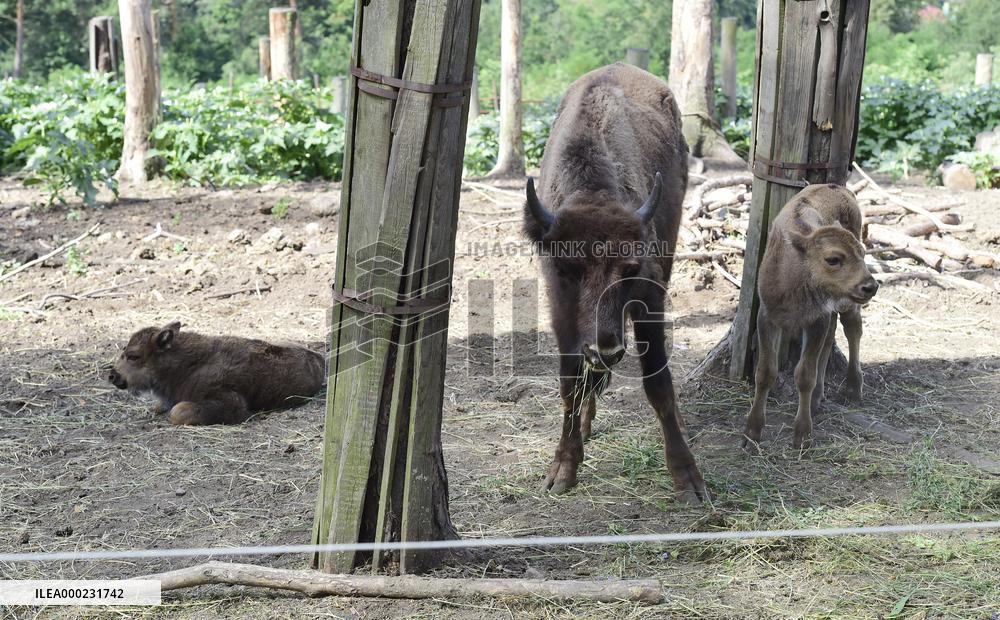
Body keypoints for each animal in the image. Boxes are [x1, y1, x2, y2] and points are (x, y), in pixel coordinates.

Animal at [523, 63, 707, 504]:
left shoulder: (649, 296)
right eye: (567, 268)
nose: (605, 349)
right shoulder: (560, 307)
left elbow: (658, 382)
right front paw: (563, 469)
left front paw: (686, 477)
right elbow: (570, 382)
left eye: (629, 268)